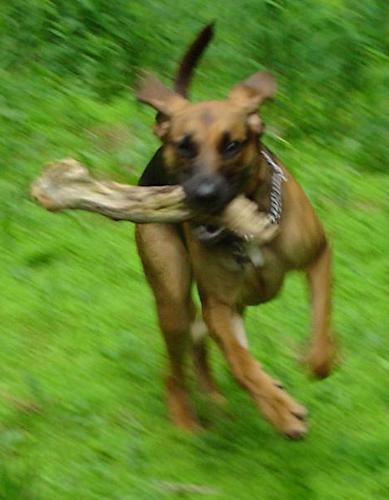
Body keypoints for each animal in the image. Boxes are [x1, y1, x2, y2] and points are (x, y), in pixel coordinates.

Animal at [134, 24, 334, 438]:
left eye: (232, 145)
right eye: (184, 146)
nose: (206, 194)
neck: (247, 232)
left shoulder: (318, 254)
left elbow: (320, 325)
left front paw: (316, 361)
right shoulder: (219, 305)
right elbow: (242, 365)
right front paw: (282, 412)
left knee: (202, 344)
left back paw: (216, 396)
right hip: (172, 296)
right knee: (178, 366)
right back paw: (187, 421)